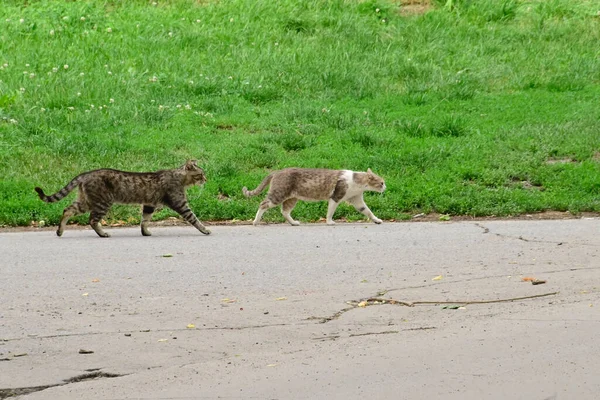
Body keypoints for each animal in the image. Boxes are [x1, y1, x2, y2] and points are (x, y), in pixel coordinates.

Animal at [34, 159, 211, 238]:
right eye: (201, 174)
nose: (206, 179)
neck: (180, 178)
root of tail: (86, 174)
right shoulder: (180, 203)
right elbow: (194, 218)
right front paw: (205, 229)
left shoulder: (149, 204)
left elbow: (144, 220)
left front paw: (145, 232)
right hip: (102, 202)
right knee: (92, 220)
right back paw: (102, 233)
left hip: (85, 201)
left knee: (67, 210)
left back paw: (60, 231)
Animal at [243, 167, 386, 227]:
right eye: (381, 182)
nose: (385, 187)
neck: (357, 182)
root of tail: (277, 171)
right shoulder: (336, 197)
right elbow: (330, 212)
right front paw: (329, 222)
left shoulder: (357, 200)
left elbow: (368, 211)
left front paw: (377, 220)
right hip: (278, 194)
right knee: (263, 204)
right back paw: (255, 221)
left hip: (292, 198)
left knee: (284, 211)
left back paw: (293, 223)